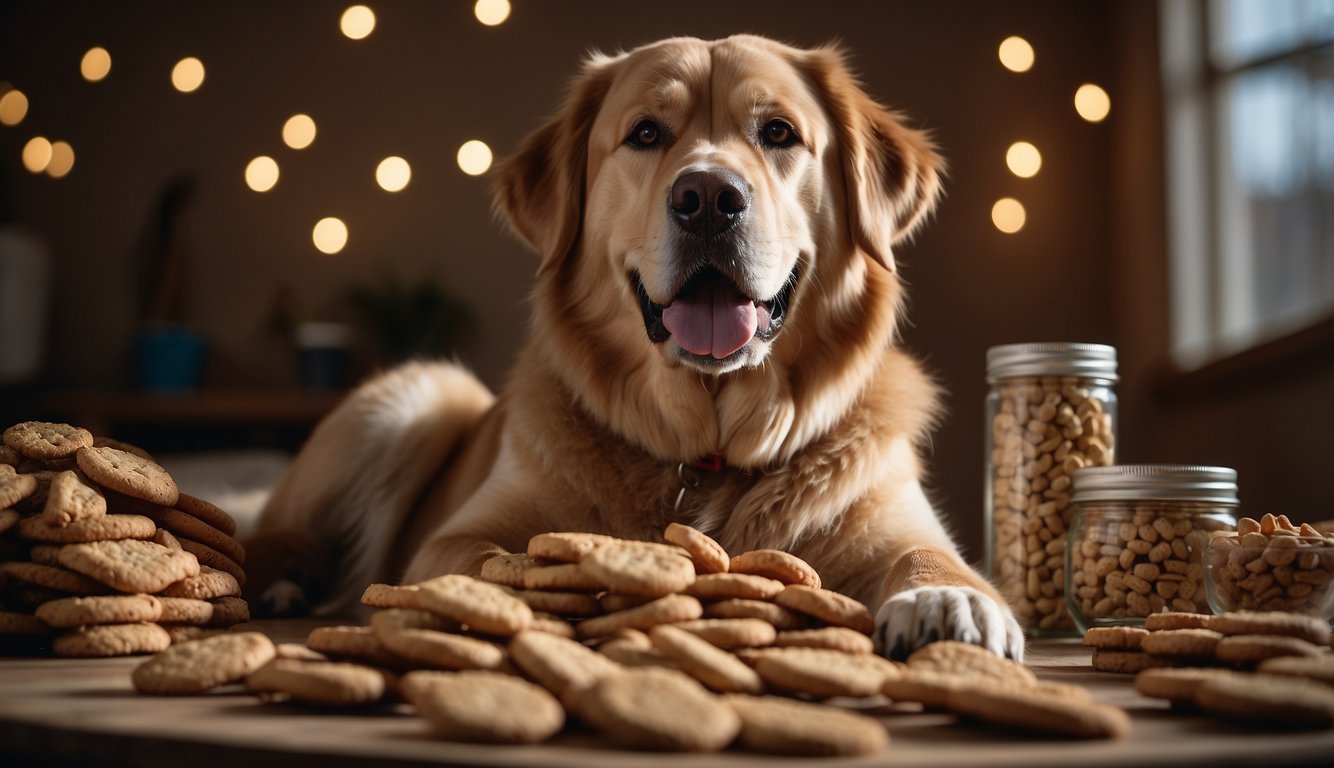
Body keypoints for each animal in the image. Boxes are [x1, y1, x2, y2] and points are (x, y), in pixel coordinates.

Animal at [248, 34, 1019, 661]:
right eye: (646, 132)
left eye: (778, 132)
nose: (707, 198)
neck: (705, 453)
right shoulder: (452, 538)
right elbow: (494, 559)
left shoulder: (899, 522)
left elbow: (932, 558)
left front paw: (950, 601)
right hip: (417, 396)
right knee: (272, 537)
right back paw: (274, 586)